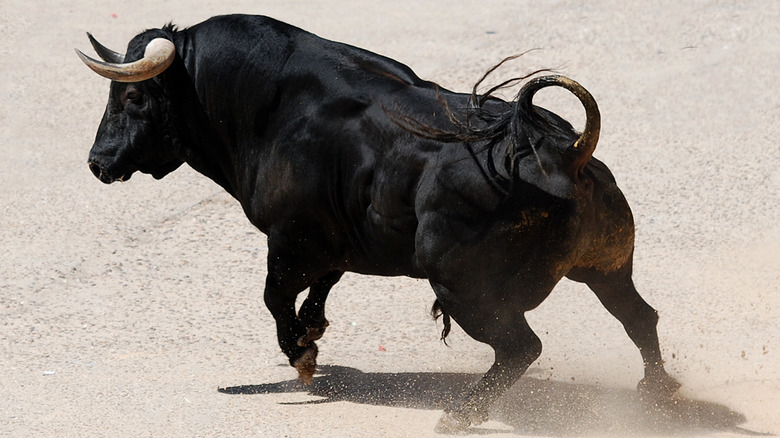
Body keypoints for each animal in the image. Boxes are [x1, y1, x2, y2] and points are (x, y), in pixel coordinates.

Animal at [76, 13, 680, 434]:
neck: (269, 108)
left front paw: (302, 357)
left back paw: (461, 415)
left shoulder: (289, 240)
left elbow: (274, 298)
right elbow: (319, 288)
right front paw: (313, 333)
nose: (97, 163)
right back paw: (659, 394)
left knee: (521, 348)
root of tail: (569, 153)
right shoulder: (335, 242)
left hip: (465, 290)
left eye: (132, 95)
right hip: (608, 267)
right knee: (639, 317)